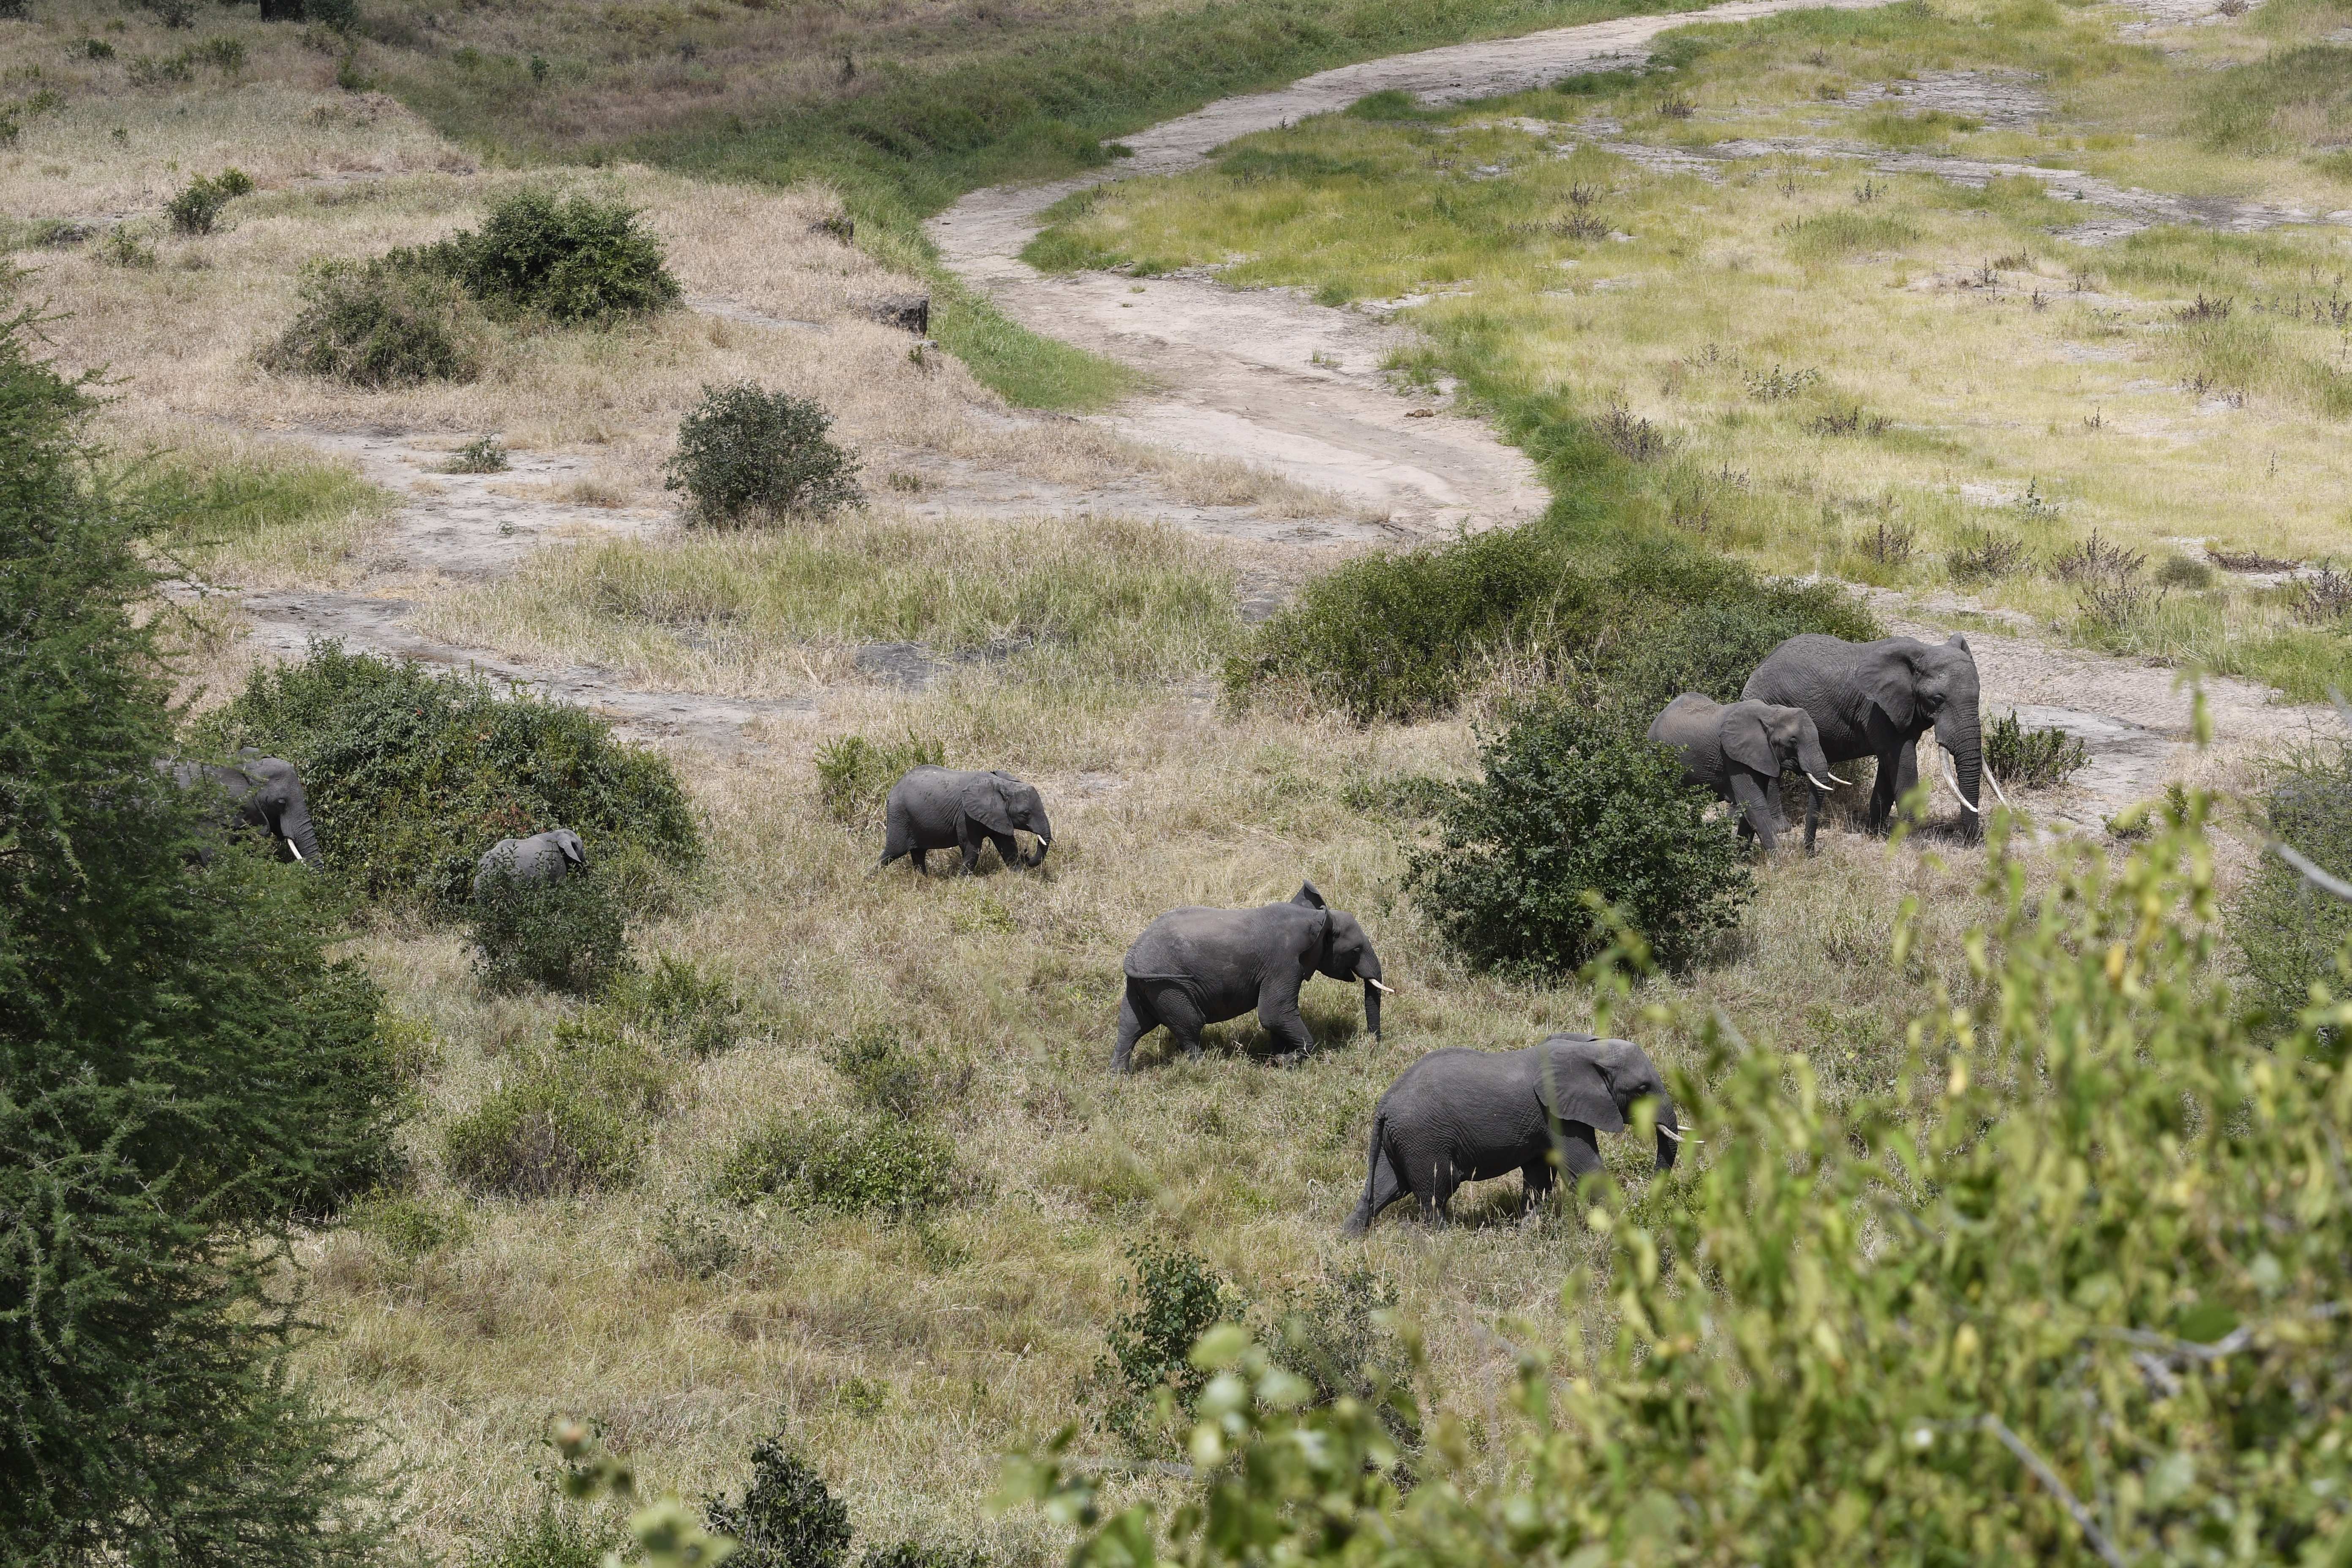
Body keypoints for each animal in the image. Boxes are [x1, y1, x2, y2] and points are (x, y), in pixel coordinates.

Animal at [880, 766, 1052, 876]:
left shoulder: (999, 816)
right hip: (899, 815)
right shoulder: (966, 816)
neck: (1002, 784)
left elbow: (1008, 847)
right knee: (893, 852)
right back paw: (873, 878)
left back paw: (923, 879)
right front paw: (961, 881)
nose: (1026, 853)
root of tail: (893, 789)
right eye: (1026, 814)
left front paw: (1019, 877)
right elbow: (971, 848)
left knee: (918, 853)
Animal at [1114, 881, 1388, 1072]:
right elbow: (1274, 1013)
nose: (1373, 1045)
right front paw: (1284, 1062)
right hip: (1168, 985)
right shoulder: (1284, 963)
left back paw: (1118, 1077)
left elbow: (1277, 1018)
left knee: (1131, 1026)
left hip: (1143, 986)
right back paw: (1203, 1067)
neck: (1317, 917)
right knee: (1190, 1025)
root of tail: (1132, 955)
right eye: (1355, 951)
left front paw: (1276, 1059)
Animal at [1344, 1033, 1679, 1233]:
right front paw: (1625, 1229)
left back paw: (1350, 1236)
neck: (1588, 1049)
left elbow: (1539, 1177)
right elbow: (1586, 1171)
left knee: (1386, 1187)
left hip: (1401, 1138)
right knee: (1435, 1191)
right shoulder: (1557, 1113)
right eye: (1642, 1089)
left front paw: (1527, 1231)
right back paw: (1445, 1240)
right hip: (1423, 1139)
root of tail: (1384, 1104)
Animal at [1646, 693, 1836, 854]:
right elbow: (1754, 802)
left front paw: (1742, 854)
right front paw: (1780, 860)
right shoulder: (1733, 756)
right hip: (1657, 755)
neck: (1771, 713)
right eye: (1794, 741)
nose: (1809, 854)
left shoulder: (1760, 756)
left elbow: (1749, 805)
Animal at [1742, 632, 1996, 851]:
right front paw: (1912, 839)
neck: (1922, 652)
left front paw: (1876, 833)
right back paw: (1781, 829)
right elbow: (1902, 763)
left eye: (1978, 695)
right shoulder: (1877, 710)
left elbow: (1889, 764)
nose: (1973, 842)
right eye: (1937, 699)